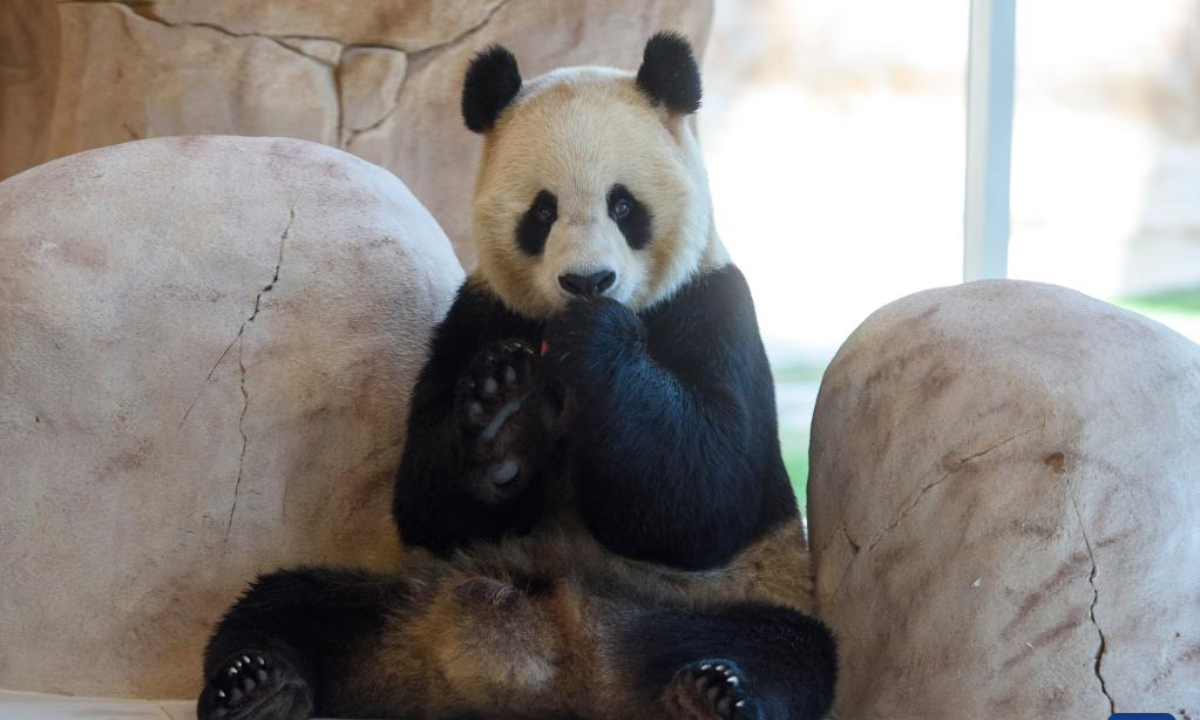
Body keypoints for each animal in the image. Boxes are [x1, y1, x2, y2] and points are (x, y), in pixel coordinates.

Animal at [196, 32, 835, 720]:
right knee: (288, 603)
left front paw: (596, 344)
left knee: (784, 647)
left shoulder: (713, 306)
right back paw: (262, 687)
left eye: (623, 204)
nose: (587, 281)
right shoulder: (478, 315)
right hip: (406, 591)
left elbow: (707, 497)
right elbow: (427, 501)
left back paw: (709, 695)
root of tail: (548, 670)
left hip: (713, 602)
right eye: (543, 211)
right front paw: (505, 416)